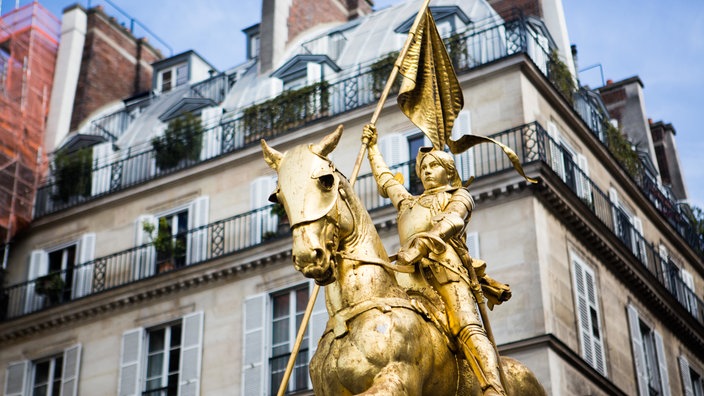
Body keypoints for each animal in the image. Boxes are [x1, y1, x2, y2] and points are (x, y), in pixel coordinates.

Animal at [262, 125, 540, 394]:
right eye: (278, 197)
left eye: (326, 181)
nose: (307, 256)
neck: (351, 313)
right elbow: (388, 182)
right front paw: (370, 137)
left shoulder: (398, 376)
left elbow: (452, 218)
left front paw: (413, 252)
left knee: (472, 333)